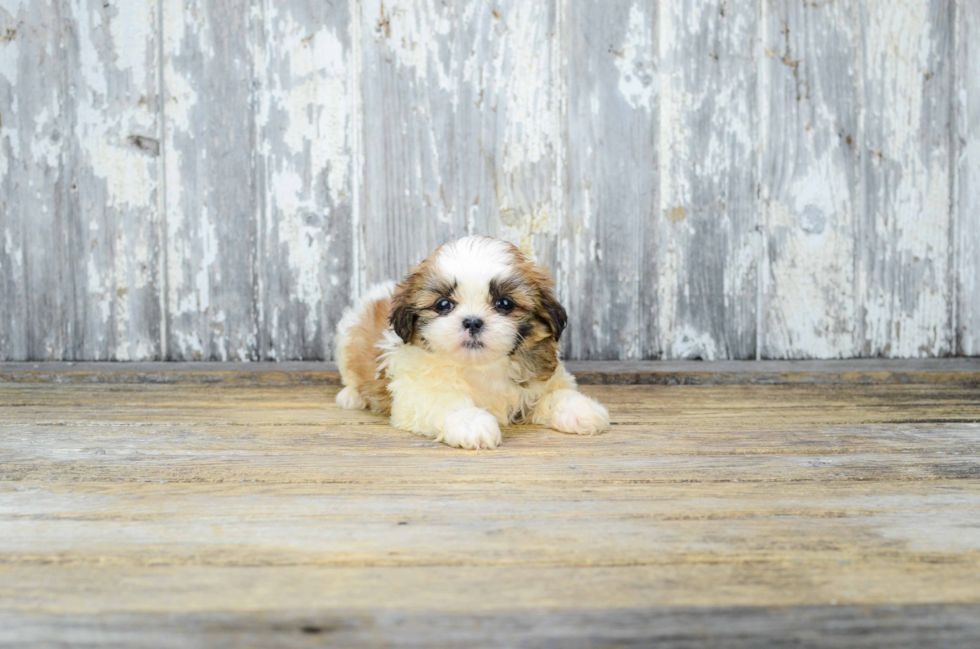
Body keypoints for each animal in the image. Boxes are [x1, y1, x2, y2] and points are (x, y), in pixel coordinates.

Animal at [336, 235, 612, 448]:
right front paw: (472, 423)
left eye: (504, 303)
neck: (481, 366)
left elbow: (556, 395)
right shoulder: (417, 393)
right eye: (443, 305)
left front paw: (582, 410)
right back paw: (350, 396)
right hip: (346, 338)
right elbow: (447, 402)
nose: (472, 322)